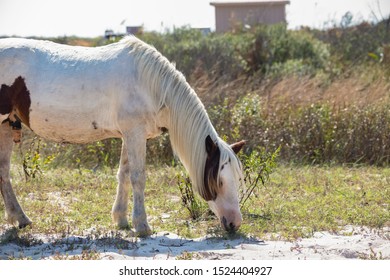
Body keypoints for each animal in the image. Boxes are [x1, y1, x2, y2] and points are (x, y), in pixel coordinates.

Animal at [0, 36, 244, 234]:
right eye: (219, 181)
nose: (235, 223)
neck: (149, 85)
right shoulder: (135, 134)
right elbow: (138, 177)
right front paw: (142, 225)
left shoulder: (131, 135)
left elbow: (124, 175)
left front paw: (121, 220)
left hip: (5, 126)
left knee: (4, 173)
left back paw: (20, 218)